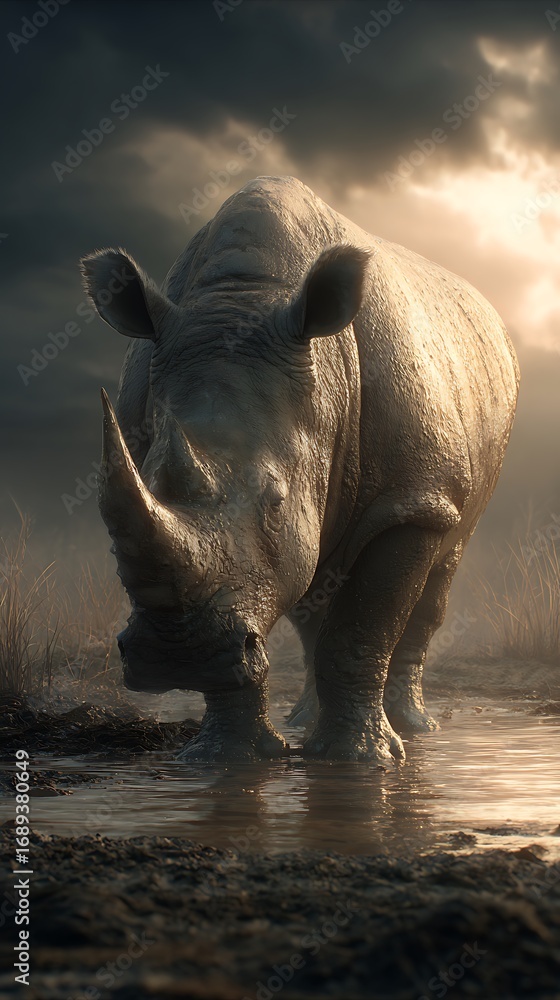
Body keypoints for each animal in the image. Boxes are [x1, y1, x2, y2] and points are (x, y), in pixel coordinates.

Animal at [81, 175, 519, 763]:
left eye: (277, 498)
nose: (176, 656)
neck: (243, 296)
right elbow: (270, 601)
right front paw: (227, 761)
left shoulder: (412, 497)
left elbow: (364, 626)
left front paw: (361, 761)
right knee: (313, 593)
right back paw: (307, 718)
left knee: (439, 569)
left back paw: (415, 728)